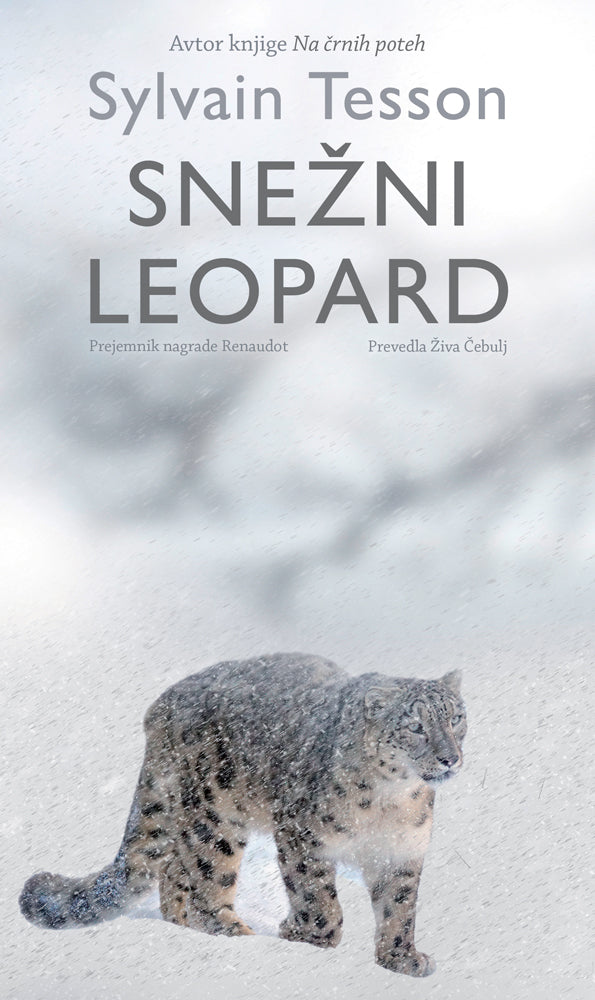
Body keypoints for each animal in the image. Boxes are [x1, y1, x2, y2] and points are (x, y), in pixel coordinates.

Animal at [19, 653, 466, 977]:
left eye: (456, 717)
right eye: (415, 726)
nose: (450, 758)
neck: (392, 801)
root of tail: (162, 705)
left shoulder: (401, 852)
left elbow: (400, 909)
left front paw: (402, 960)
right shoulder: (303, 836)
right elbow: (318, 898)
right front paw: (306, 937)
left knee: (175, 872)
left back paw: (182, 923)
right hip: (214, 816)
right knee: (207, 882)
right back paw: (237, 934)